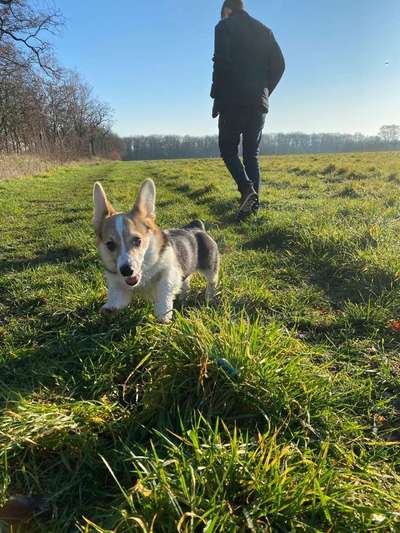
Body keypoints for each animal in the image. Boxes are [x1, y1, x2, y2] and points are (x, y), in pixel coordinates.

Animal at [92, 179, 220, 322]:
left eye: (137, 240)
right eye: (110, 244)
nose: (126, 270)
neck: (143, 272)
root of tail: (197, 227)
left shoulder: (170, 271)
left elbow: (164, 290)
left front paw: (163, 315)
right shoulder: (118, 284)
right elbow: (118, 297)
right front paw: (109, 308)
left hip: (211, 267)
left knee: (212, 282)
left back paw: (209, 298)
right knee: (186, 282)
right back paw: (183, 297)